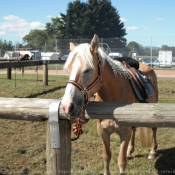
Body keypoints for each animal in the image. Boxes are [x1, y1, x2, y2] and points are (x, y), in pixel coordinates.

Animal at [61, 34, 159, 175]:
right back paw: (130, 151)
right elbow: (106, 156)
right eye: (68, 69)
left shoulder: (124, 133)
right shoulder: (103, 131)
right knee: (135, 129)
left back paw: (152, 152)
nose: (67, 106)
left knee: (154, 129)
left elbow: (121, 162)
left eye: (88, 70)